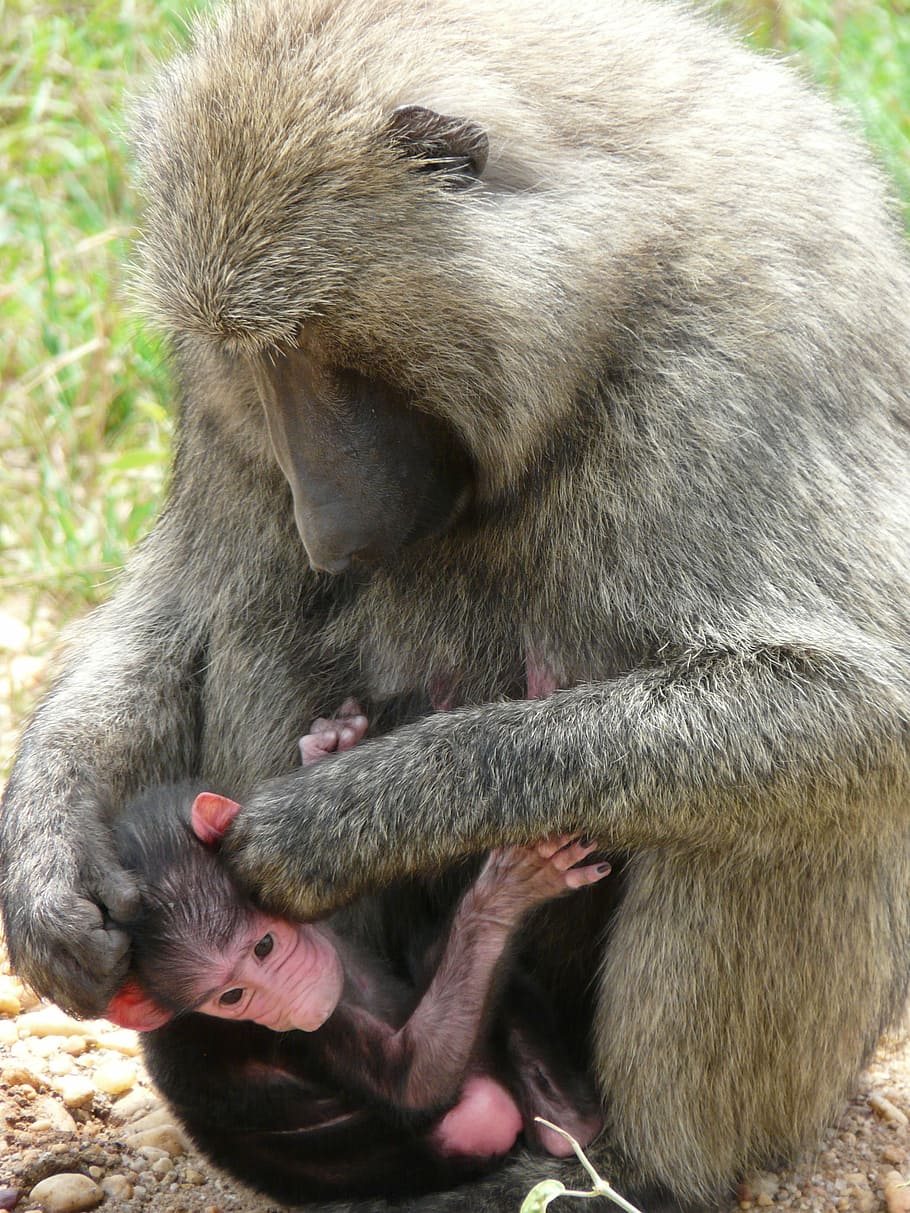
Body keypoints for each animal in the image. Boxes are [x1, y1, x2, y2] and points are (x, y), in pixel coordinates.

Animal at [103, 782, 607, 1200]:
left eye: (264, 947)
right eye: (231, 997)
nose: (295, 999)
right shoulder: (281, 1036)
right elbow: (410, 1080)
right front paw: (506, 892)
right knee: (486, 1111)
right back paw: (568, 1122)